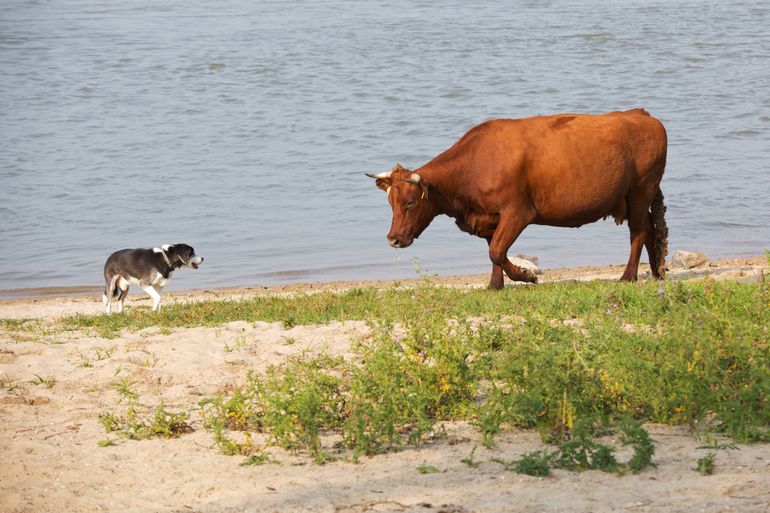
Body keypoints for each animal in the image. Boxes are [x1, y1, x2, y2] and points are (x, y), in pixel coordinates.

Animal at [366, 107, 664, 288]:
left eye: (411, 202)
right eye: (390, 203)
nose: (393, 239)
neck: (474, 166)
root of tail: (641, 114)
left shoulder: (517, 212)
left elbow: (497, 251)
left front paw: (525, 275)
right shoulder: (489, 216)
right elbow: (492, 251)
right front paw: (494, 285)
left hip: (640, 191)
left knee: (639, 231)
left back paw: (628, 276)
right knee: (651, 229)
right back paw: (657, 271)